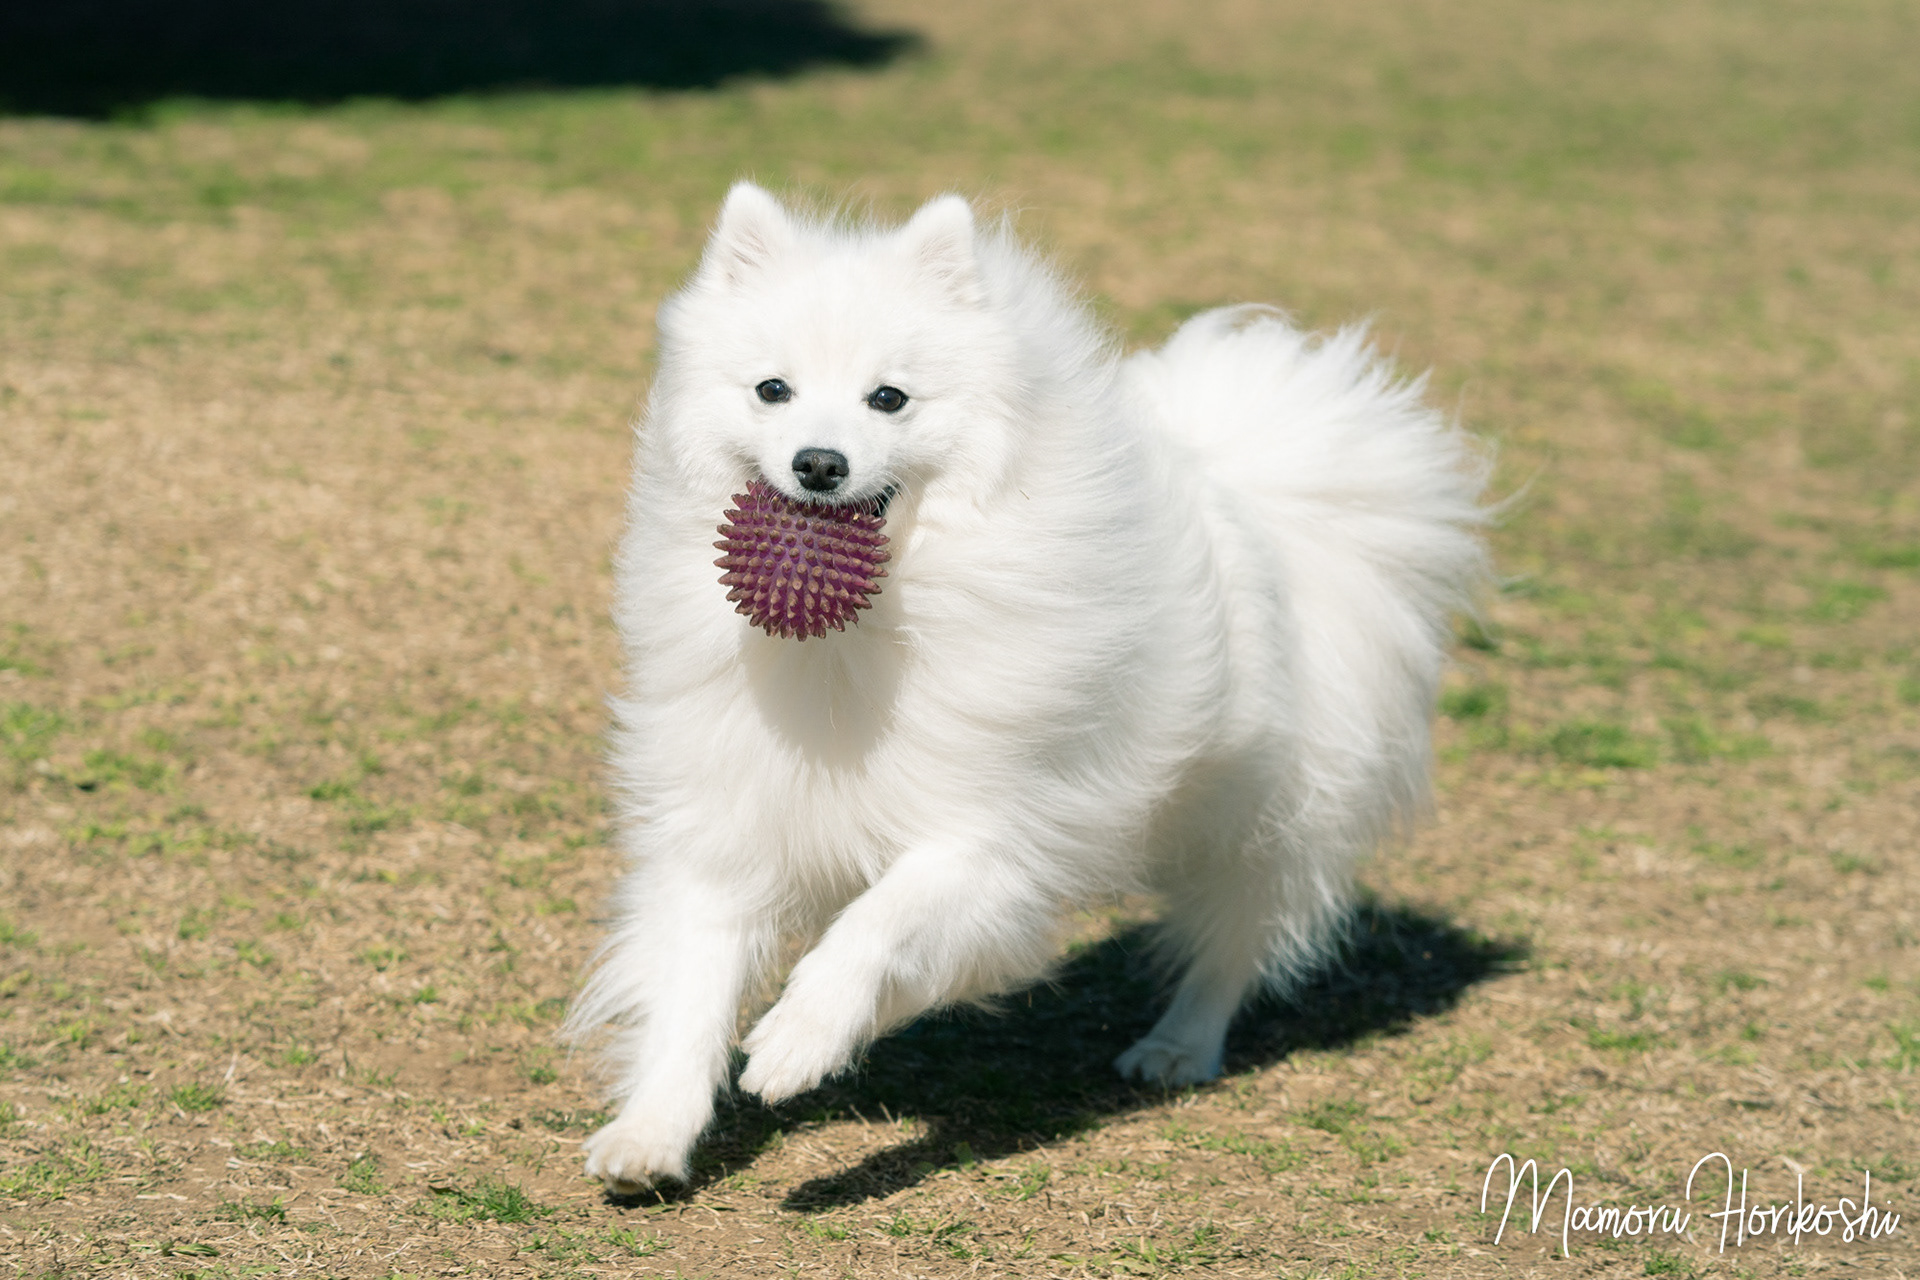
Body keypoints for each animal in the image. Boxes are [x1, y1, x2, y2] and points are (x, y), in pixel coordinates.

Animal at [564, 183, 1490, 1192]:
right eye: (773, 390)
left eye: (888, 398)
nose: (818, 464)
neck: (865, 631)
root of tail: (1268, 489)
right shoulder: (729, 817)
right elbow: (690, 987)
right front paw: (652, 1133)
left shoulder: (998, 830)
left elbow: (880, 920)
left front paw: (799, 1038)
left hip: (1265, 818)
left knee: (1234, 943)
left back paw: (1178, 1046)